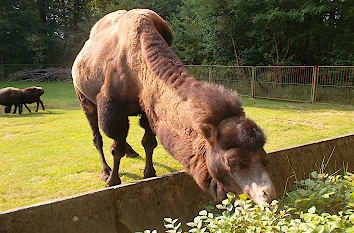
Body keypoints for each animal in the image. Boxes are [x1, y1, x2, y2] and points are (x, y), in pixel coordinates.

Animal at [72, 8, 276, 204]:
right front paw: (112, 181)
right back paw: (105, 171)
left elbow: (149, 142)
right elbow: (116, 148)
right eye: (233, 162)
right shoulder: (112, 108)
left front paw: (149, 172)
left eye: (265, 158)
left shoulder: (150, 108)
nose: (268, 195)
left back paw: (131, 153)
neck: (137, 67)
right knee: (97, 136)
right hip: (83, 97)